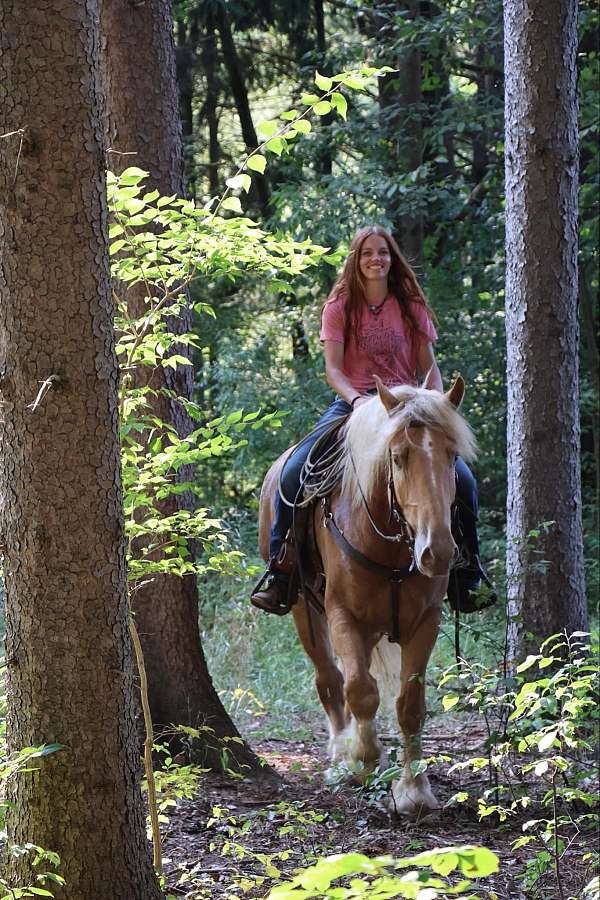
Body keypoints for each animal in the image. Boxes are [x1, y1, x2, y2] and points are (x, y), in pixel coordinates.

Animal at [260, 372, 476, 816]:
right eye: (397, 457)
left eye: (452, 457)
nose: (438, 552)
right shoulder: (343, 614)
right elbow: (359, 690)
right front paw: (363, 762)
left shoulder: (425, 620)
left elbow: (410, 705)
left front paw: (414, 790)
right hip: (304, 609)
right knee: (329, 678)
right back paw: (342, 752)